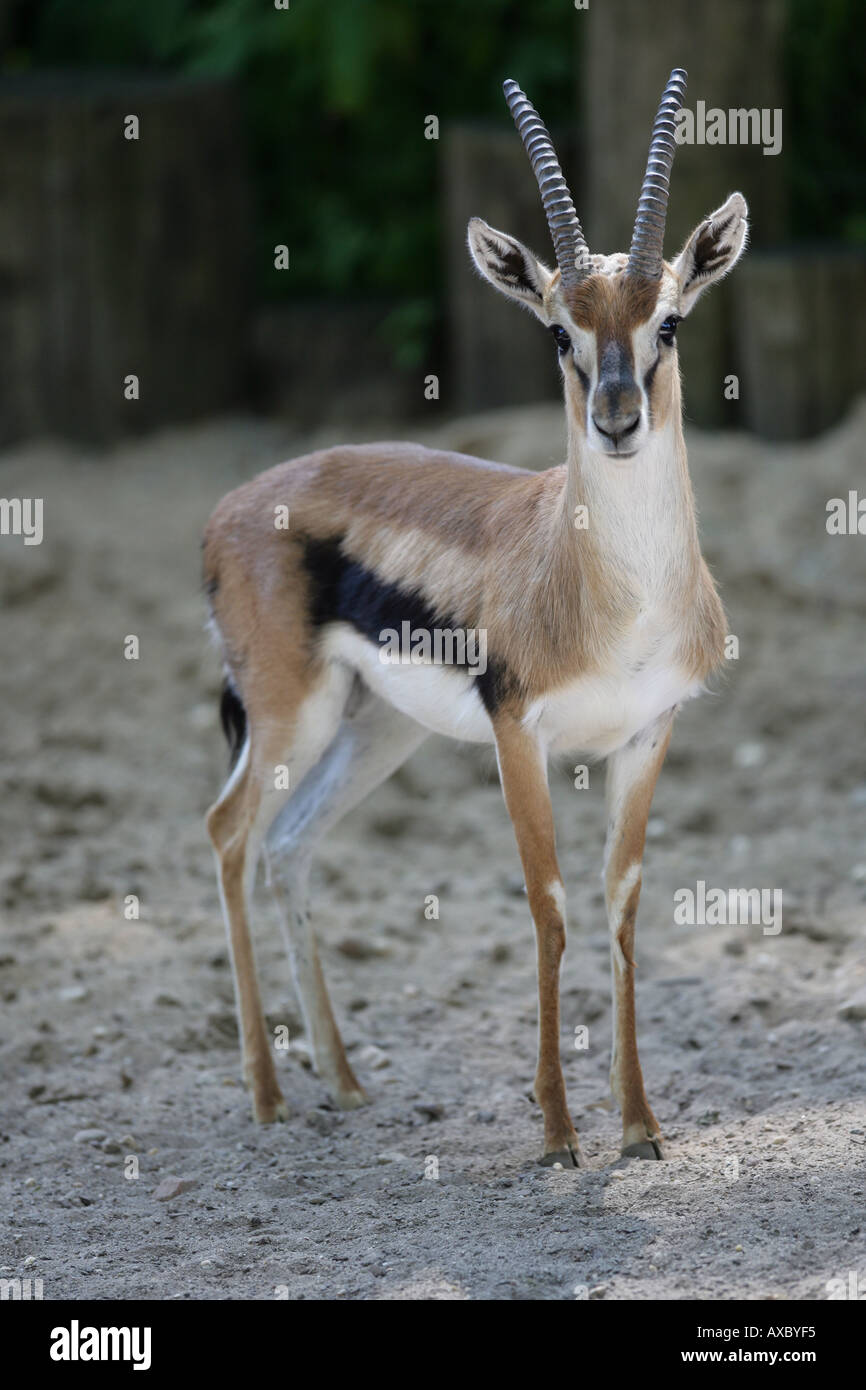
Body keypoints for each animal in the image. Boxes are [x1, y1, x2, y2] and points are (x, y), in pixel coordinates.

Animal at [203, 69, 748, 1167]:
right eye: (557, 330)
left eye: (667, 321)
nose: (616, 420)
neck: (615, 601)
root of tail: (229, 510)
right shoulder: (516, 734)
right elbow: (548, 909)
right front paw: (556, 1133)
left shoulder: (648, 735)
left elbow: (622, 904)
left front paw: (638, 1125)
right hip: (291, 717)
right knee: (230, 835)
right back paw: (270, 1096)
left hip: (380, 729)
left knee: (289, 845)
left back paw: (346, 1084)